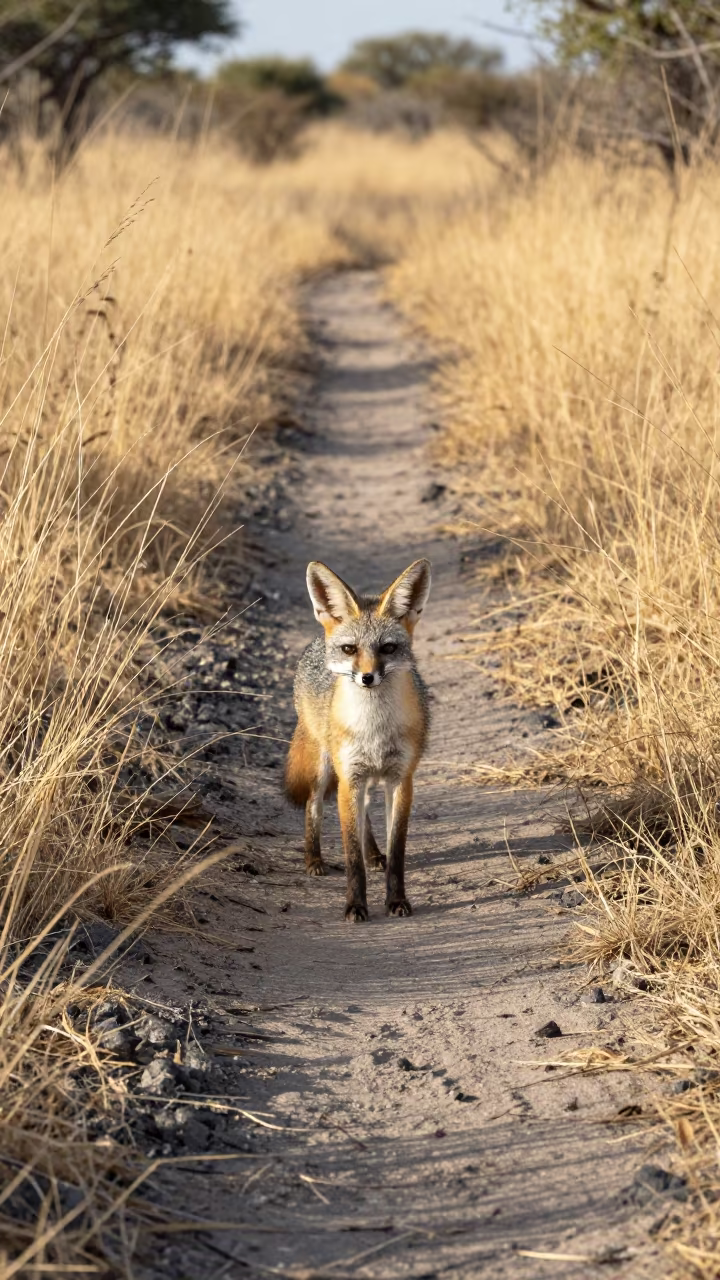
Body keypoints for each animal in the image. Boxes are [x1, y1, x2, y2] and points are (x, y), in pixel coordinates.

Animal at [285, 557, 432, 922]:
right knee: (313, 805)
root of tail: (314, 643)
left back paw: (374, 854)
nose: (367, 678)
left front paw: (397, 900)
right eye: (350, 649)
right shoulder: (350, 775)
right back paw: (314, 860)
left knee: (364, 812)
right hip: (326, 768)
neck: (374, 728)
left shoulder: (400, 779)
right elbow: (351, 856)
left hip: (362, 779)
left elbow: (397, 852)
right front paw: (355, 905)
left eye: (387, 648)